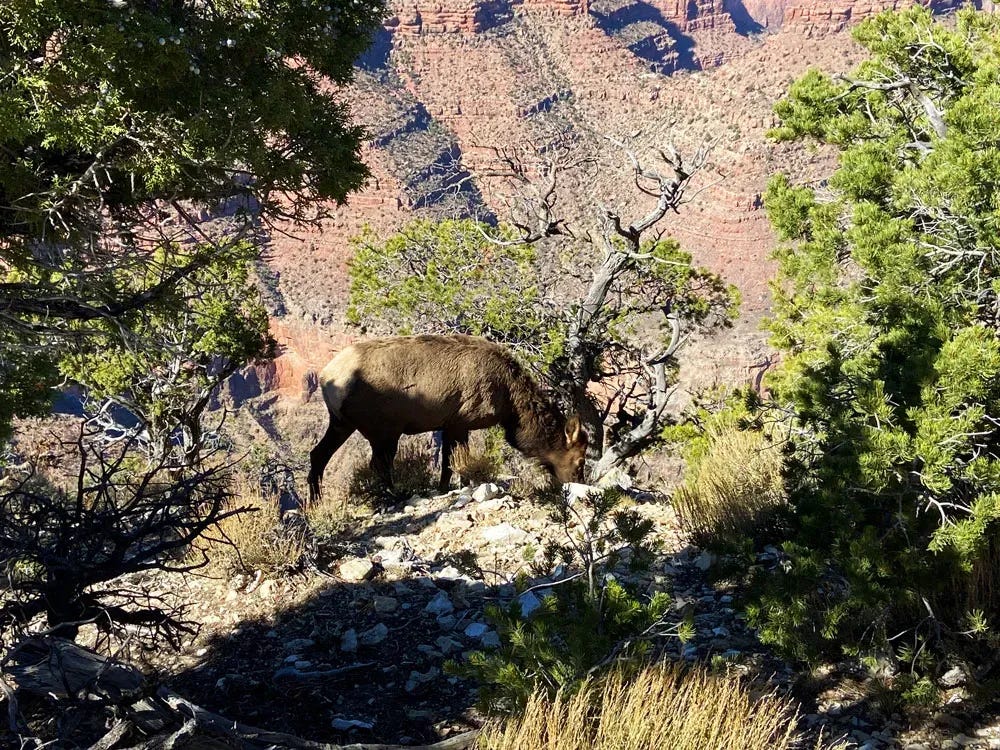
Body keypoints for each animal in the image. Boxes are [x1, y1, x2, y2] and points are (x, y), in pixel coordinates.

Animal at [304, 336, 584, 506]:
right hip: (383, 429)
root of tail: (326, 378)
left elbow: (447, 466)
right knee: (379, 464)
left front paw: (443, 489)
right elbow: (458, 464)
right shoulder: (461, 422)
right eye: (580, 461)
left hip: (341, 423)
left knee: (318, 455)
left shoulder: (449, 424)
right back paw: (391, 495)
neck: (510, 404)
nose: (577, 484)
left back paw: (315, 502)